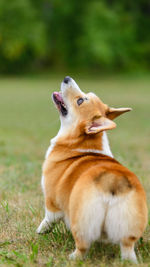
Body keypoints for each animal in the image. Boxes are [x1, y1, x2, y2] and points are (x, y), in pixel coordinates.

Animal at [36, 76, 148, 262]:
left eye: (80, 101)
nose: (67, 78)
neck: (81, 143)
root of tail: (112, 181)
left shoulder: (51, 202)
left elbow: (48, 219)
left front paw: (39, 231)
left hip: (83, 222)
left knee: (82, 246)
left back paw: (72, 258)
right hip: (129, 226)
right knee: (127, 248)